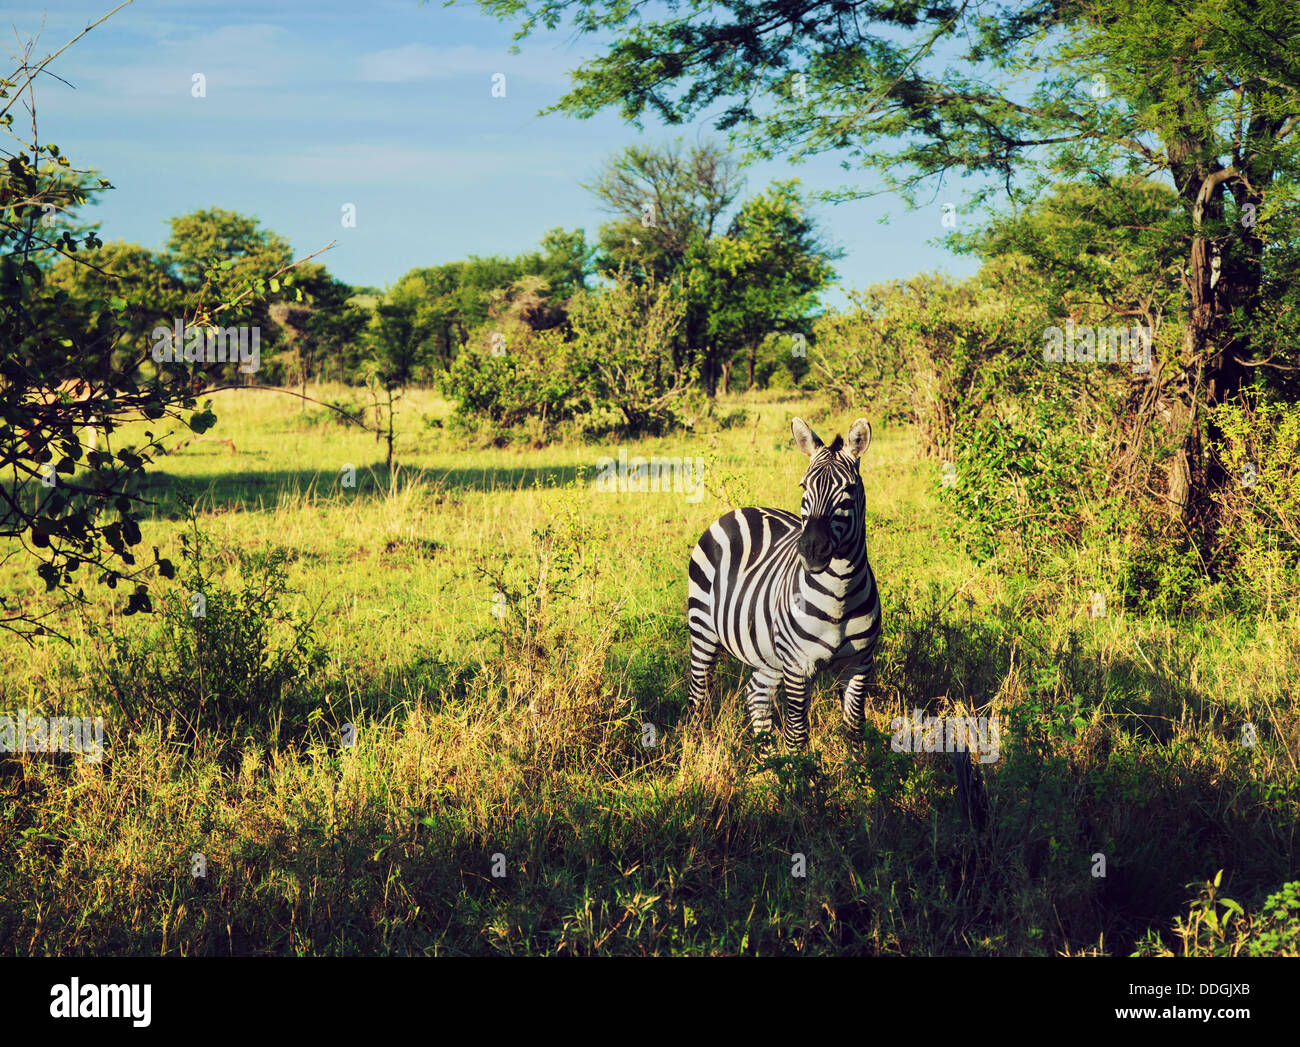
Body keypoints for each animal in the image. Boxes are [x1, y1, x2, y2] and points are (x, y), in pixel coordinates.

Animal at [681, 416, 883, 749]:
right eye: (804, 486)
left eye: (850, 489)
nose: (812, 549)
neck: (839, 595)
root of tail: (742, 509)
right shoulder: (798, 666)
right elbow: (797, 735)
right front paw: (795, 765)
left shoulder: (859, 664)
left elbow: (855, 729)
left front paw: (859, 764)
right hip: (703, 629)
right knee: (698, 696)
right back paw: (696, 745)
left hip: (767, 653)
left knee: (756, 694)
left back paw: (766, 757)